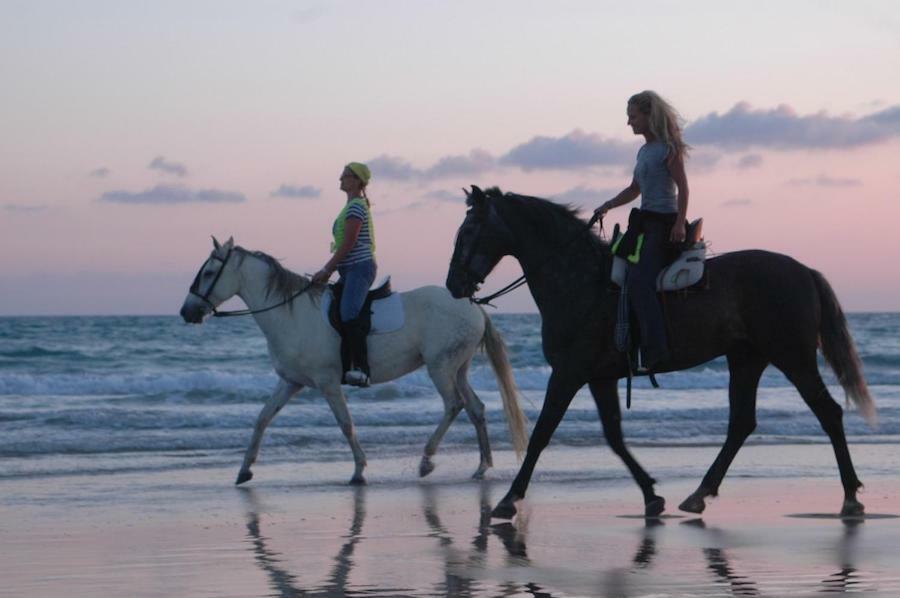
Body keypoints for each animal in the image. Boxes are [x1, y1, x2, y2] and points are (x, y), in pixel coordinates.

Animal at [178, 237, 528, 486]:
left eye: (209, 273)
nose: (187, 312)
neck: (290, 314)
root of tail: (473, 305)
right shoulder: (291, 382)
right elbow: (262, 419)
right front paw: (244, 470)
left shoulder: (328, 383)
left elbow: (345, 423)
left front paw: (359, 471)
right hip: (458, 368)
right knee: (475, 408)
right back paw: (482, 467)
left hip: (440, 367)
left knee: (454, 405)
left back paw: (426, 461)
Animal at [446, 186, 876, 520]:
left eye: (468, 229)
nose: (453, 284)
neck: (579, 282)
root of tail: (804, 271)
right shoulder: (599, 377)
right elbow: (614, 436)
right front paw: (651, 495)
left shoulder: (568, 373)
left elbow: (541, 434)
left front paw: (508, 499)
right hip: (746, 358)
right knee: (741, 423)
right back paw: (699, 494)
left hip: (792, 356)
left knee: (828, 413)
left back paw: (850, 497)